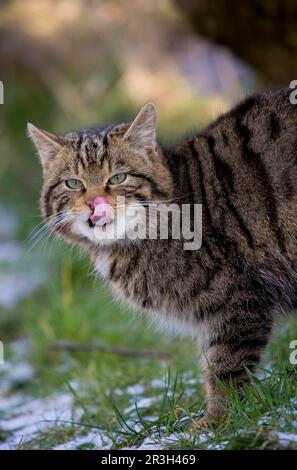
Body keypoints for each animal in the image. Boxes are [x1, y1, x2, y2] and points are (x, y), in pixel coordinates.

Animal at [28, 87, 297, 418]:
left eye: (118, 178)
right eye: (72, 183)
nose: (94, 203)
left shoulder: (238, 303)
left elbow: (225, 369)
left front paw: (217, 420)